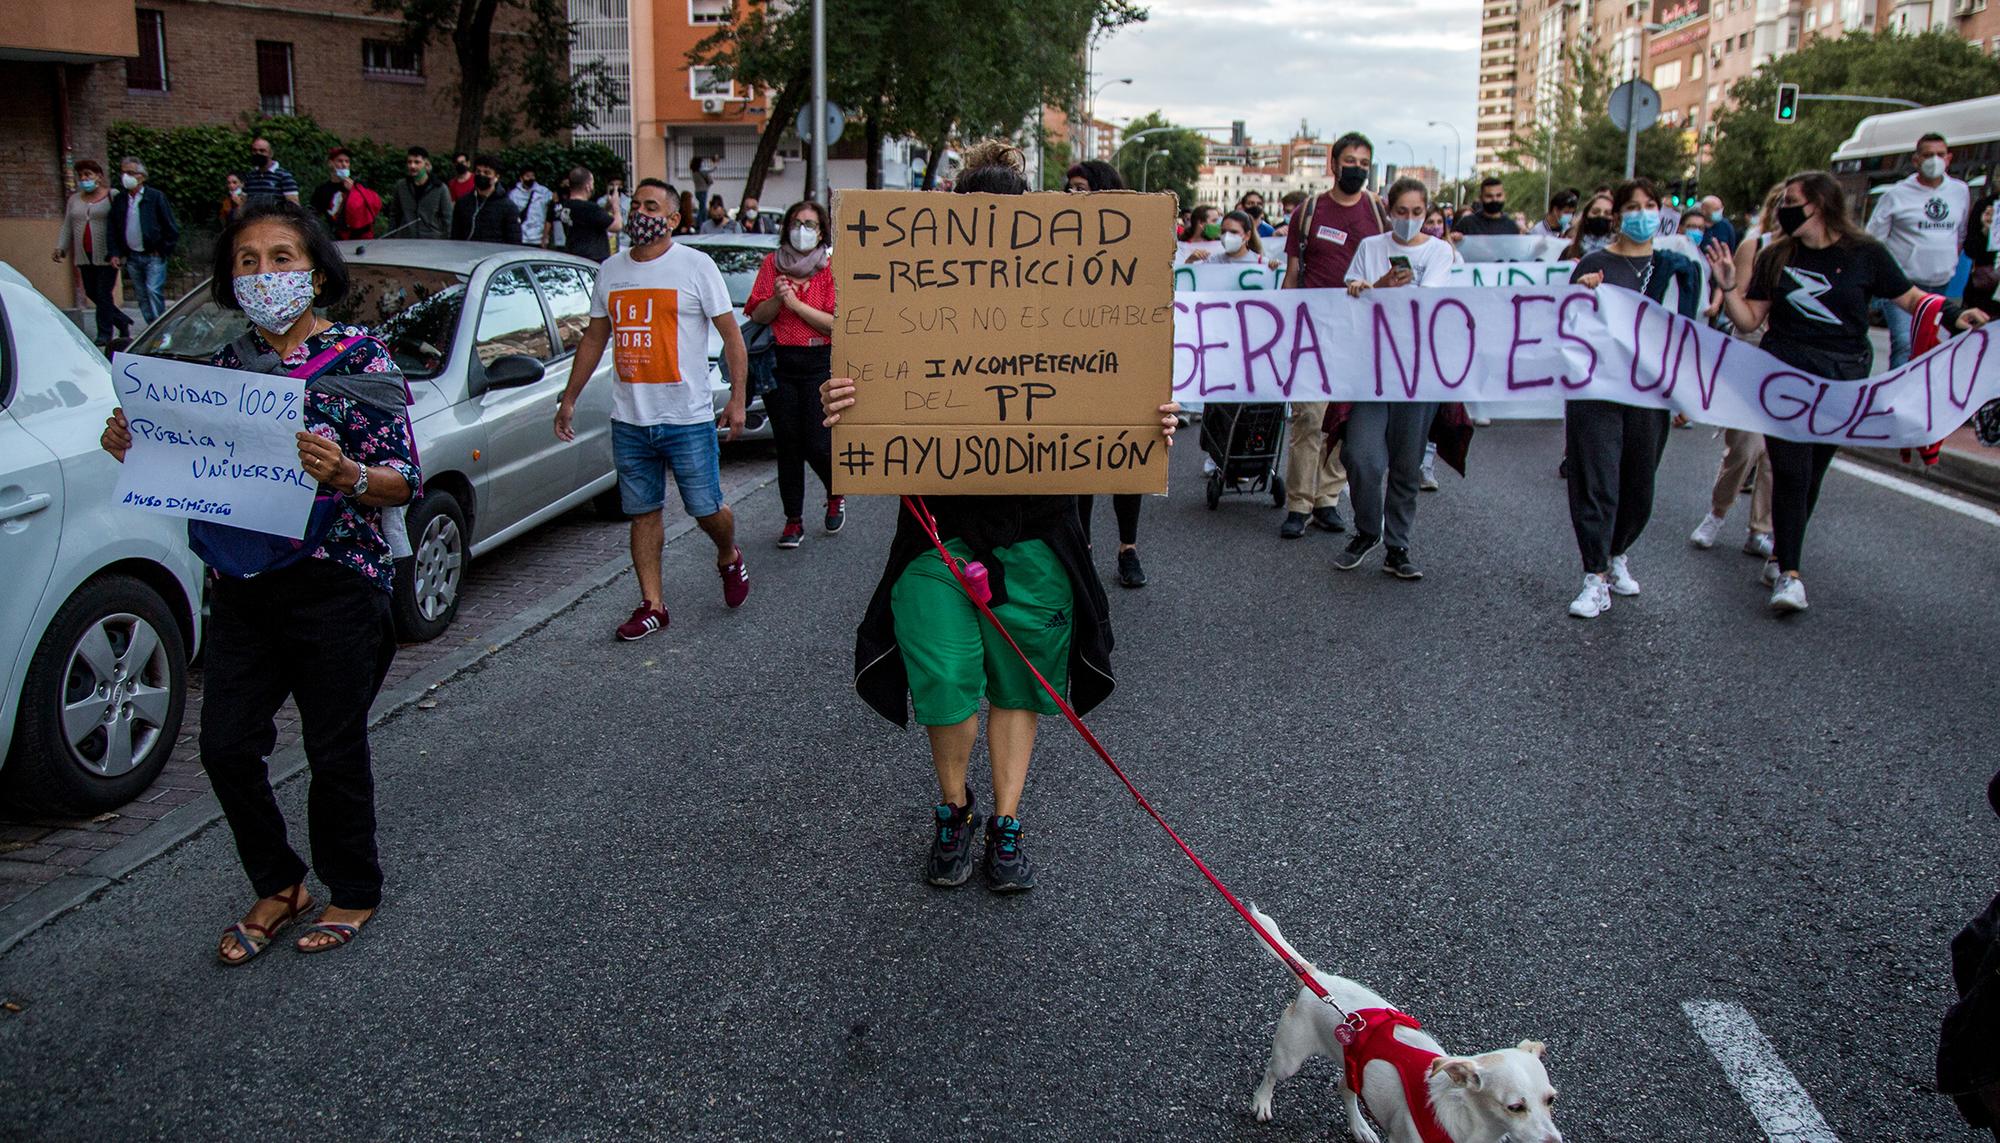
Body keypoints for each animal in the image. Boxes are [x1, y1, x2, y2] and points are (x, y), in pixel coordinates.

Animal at [1248, 907, 1560, 1143]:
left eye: (1551, 1100)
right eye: (1515, 1107)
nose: (1554, 1142)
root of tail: (1316, 978)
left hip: (1354, 1070)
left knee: (1344, 1088)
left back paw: (1360, 1128)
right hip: (1289, 1058)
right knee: (1272, 1073)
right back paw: (1262, 1102)